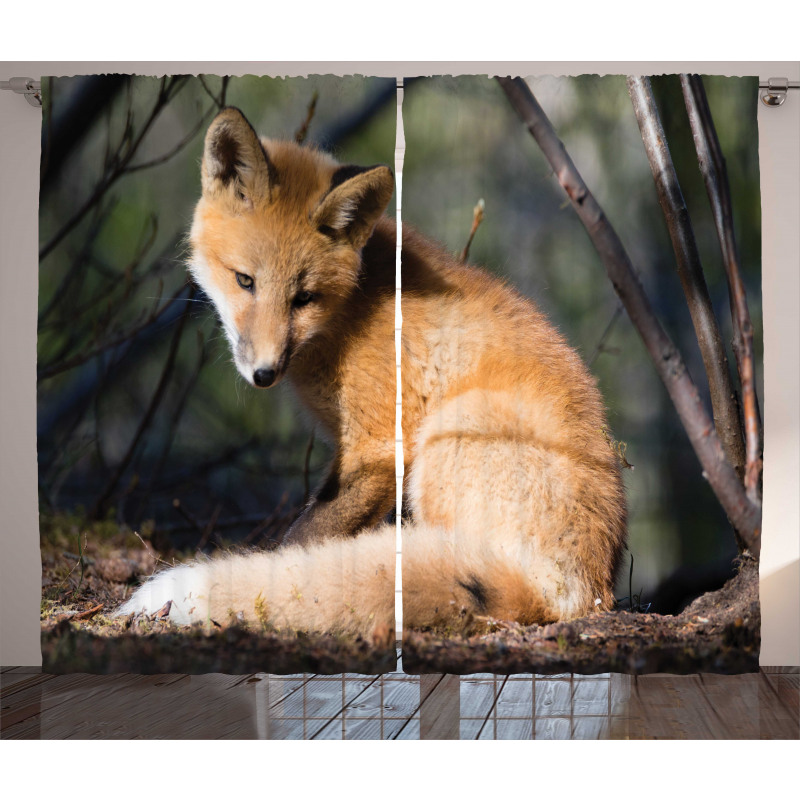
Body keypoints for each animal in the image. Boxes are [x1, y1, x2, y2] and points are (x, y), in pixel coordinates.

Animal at [115, 108, 628, 644]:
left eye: (303, 297)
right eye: (244, 281)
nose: (264, 373)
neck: (345, 316)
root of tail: (584, 590)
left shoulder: (380, 445)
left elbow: (302, 538)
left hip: (451, 436)